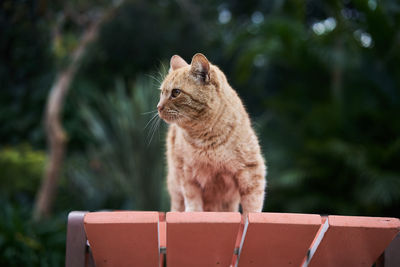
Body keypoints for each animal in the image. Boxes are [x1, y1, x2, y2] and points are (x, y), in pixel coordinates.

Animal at [158, 53, 268, 217]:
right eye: (161, 92)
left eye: (176, 92)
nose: (158, 107)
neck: (206, 138)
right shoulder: (188, 174)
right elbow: (193, 200)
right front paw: (193, 214)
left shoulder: (251, 169)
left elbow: (253, 203)